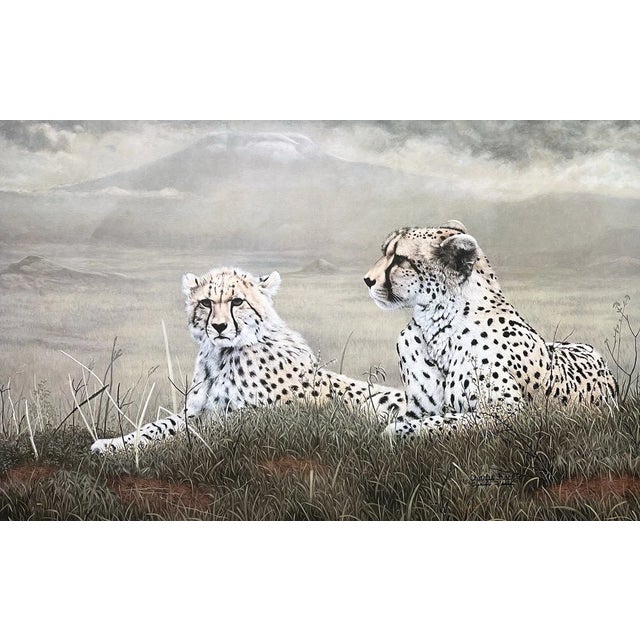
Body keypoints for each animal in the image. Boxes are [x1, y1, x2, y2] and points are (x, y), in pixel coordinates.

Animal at [91, 266, 404, 453]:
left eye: (237, 301)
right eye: (206, 303)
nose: (219, 327)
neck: (221, 357)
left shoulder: (239, 422)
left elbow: (181, 436)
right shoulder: (197, 411)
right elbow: (157, 427)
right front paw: (112, 443)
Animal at [363, 220, 618, 436]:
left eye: (399, 259)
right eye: (387, 254)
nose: (367, 280)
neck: (437, 325)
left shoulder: (510, 412)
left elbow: (448, 422)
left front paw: (392, 432)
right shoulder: (418, 409)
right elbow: (427, 418)